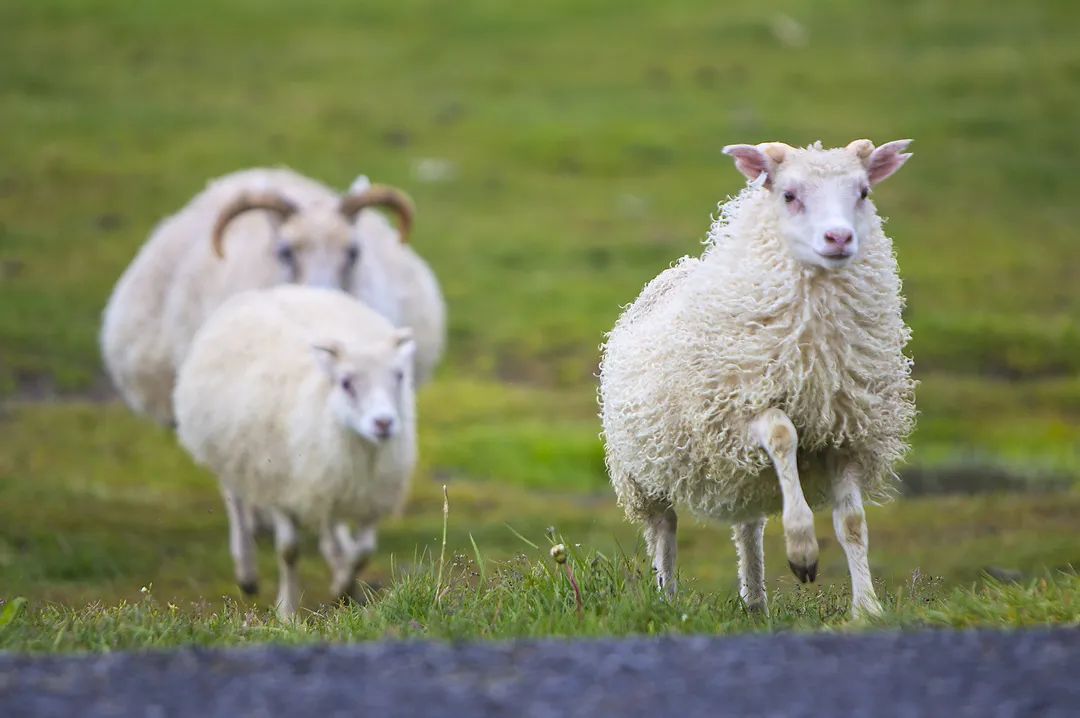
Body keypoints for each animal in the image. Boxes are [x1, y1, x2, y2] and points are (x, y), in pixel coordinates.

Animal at [174, 285, 414, 617]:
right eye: (346, 382)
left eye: (399, 376)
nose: (384, 423)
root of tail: (275, 290)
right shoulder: (279, 485)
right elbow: (288, 551)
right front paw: (287, 612)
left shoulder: (370, 496)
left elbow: (365, 552)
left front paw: (343, 586)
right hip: (233, 454)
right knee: (236, 502)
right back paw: (247, 571)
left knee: (331, 527)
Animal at [600, 140, 920, 617]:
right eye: (789, 195)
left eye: (863, 192)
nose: (839, 238)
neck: (815, 363)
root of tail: (676, 269)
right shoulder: (738, 413)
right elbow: (783, 434)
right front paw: (803, 549)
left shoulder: (848, 434)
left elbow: (852, 523)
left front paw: (867, 609)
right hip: (643, 471)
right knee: (664, 529)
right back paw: (667, 598)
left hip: (741, 473)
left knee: (747, 530)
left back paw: (755, 601)